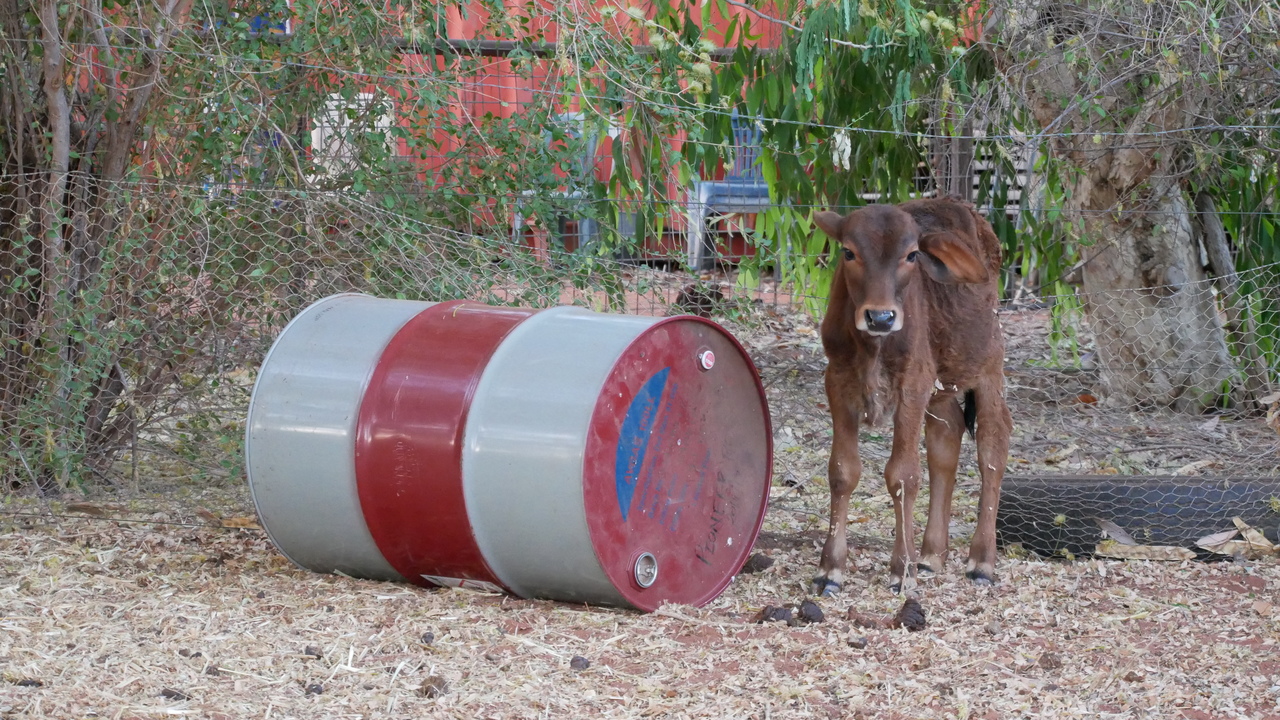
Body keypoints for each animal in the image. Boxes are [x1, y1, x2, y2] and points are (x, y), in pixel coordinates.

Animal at [810, 196, 1012, 596]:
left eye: (912, 255)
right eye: (849, 252)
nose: (881, 317)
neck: (872, 345)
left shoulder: (913, 385)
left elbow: (903, 476)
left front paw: (901, 570)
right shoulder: (837, 381)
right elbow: (842, 471)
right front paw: (831, 568)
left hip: (988, 367)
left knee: (992, 448)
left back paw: (982, 560)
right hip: (943, 387)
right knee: (946, 441)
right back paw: (932, 554)